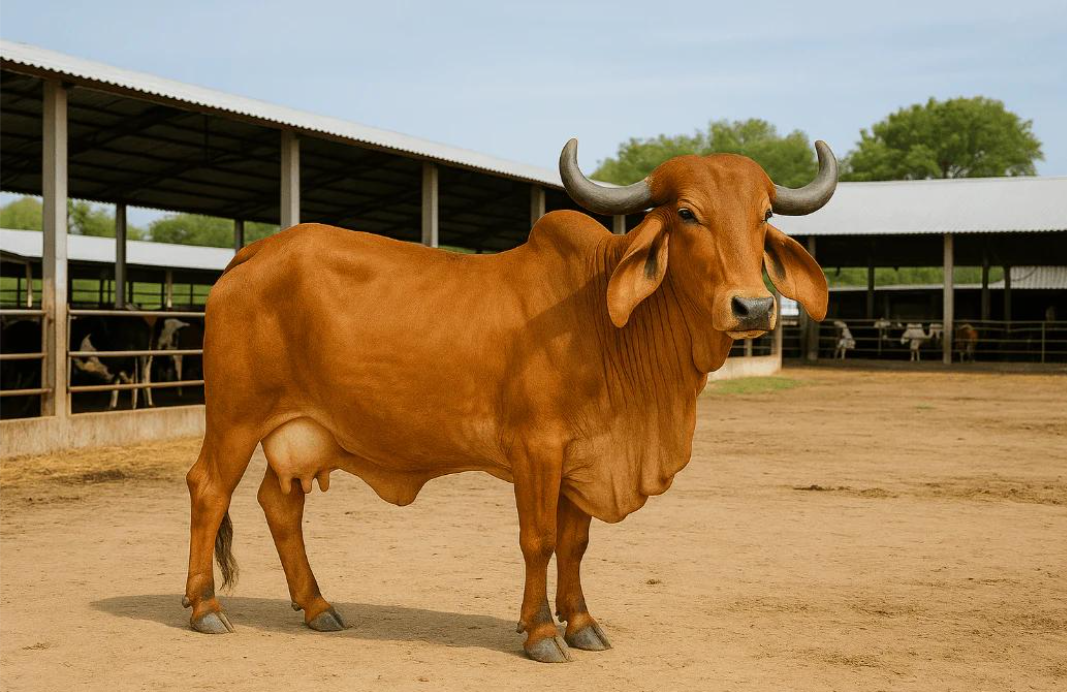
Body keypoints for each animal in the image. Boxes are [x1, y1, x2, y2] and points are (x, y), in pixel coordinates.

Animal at [182, 138, 837, 662]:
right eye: (687, 213)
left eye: (764, 215)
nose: (753, 307)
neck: (600, 318)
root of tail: (255, 254)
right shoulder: (537, 449)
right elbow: (539, 540)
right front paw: (541, 632)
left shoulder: (582, 457)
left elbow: (575, 544)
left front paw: (582, 623)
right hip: (236, 419)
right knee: (209, 488)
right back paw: (205, 608)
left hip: (299, 433)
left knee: (279, 504)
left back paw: (317, 606)